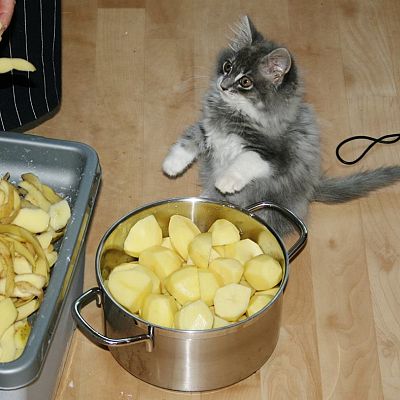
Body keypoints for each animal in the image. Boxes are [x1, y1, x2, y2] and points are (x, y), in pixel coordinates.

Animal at [162, 16, 400, 238]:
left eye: (245, 82)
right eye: (227, 66)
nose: (223, 85)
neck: (237, 114)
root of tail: (312, 188)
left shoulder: (278, 156)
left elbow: (246, 159)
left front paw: (228, 180)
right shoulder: (210, 128)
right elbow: (190, 138)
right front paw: (172, 164)